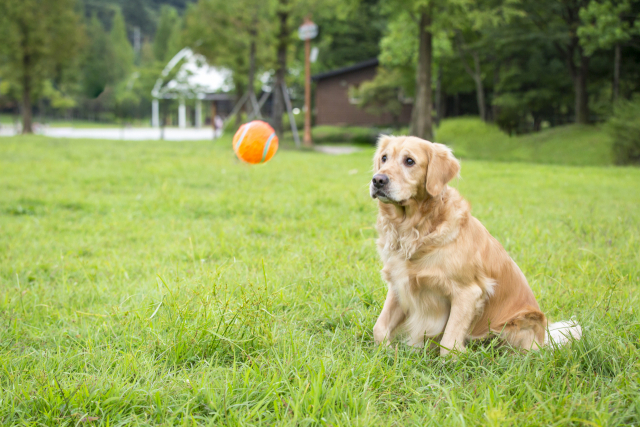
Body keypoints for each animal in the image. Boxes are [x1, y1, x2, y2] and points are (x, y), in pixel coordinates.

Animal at [368, 136, 584, 354]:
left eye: (409, 161)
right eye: (384, 158)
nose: (377, 180)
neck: (415, 229)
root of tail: (544, 339)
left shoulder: (468, 293)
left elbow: (448, 344)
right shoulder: (399, 281)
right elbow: (379, 327)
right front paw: (389, 352)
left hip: (517, 325)